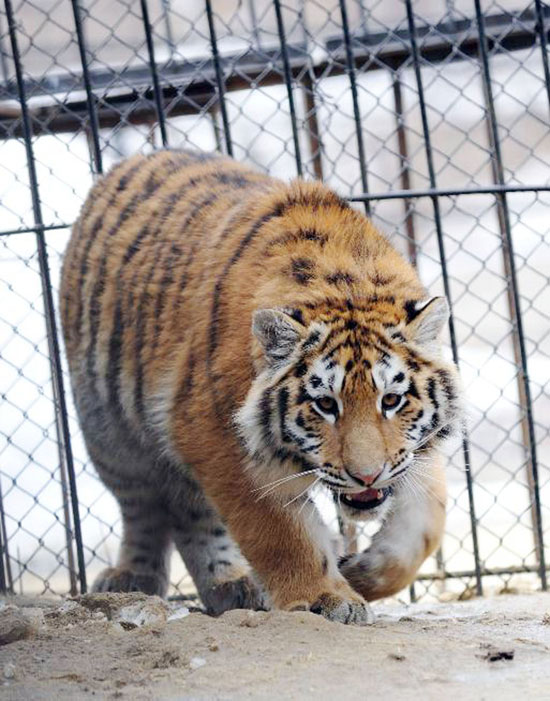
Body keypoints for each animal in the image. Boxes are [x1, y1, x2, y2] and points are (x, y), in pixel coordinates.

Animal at [60, 149, 464, 624]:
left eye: (393, 400)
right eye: (325, 404)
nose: (365, 475)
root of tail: (138, 157)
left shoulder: (412, 453)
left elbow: (425, 524)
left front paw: (361, 572)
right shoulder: (218, 437)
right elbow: (282, 533)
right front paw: (325, 598)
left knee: (188, 510)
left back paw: (232, 586)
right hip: (110, 432)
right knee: (147, 508)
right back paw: (135, 579)